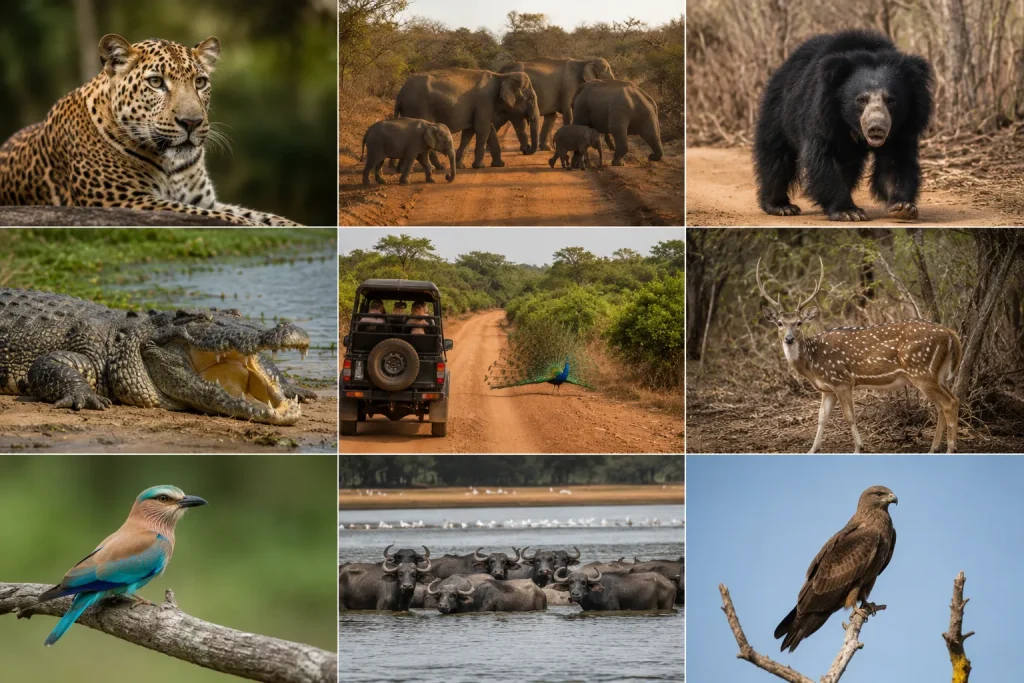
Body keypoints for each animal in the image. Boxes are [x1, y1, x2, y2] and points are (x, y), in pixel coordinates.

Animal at [0, 34, 301, 226]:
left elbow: (264, 217)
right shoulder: (127, 201)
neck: (171, 164)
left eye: (200, 82)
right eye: (156, 82)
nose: (191, 122)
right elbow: (232, 219)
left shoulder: (203, 200)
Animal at [393, 69, 539, 169]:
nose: (526, 149)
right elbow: (483, 130)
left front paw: (498, 165)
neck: (502, 76)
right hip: (418, 108)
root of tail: (400, 93)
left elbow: (474, 132)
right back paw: (439, 167)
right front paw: (479, 166)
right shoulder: (484, 102)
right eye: (531, 98)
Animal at [753, 30, 933, 221]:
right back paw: (780, 206)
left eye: (891, 100)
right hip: (779, 112)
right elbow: (823, 159)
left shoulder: (902, 129)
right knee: (776, 158)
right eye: (861, 100)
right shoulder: (823, 115)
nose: (876, 127)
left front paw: (903, 206)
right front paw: (848, 211)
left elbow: (894, 162)